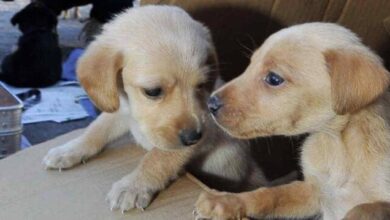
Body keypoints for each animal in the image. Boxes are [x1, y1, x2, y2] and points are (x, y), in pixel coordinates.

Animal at [42, 5, 268, 213]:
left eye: (201, 85)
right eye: (153, 91)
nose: (193, 137)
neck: (136, 115)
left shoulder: (205, 128)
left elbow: (158, 157)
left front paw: (133, 186)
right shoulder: (122, 110)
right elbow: (96, 130)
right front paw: (69, 149)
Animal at [197, 22, 390, 220]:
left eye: (274, 79)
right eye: (250, 64)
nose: (211, 103)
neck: (336, 145)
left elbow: (366, 208)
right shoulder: (313, 191)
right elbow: (270, 194)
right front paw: (225, 200)